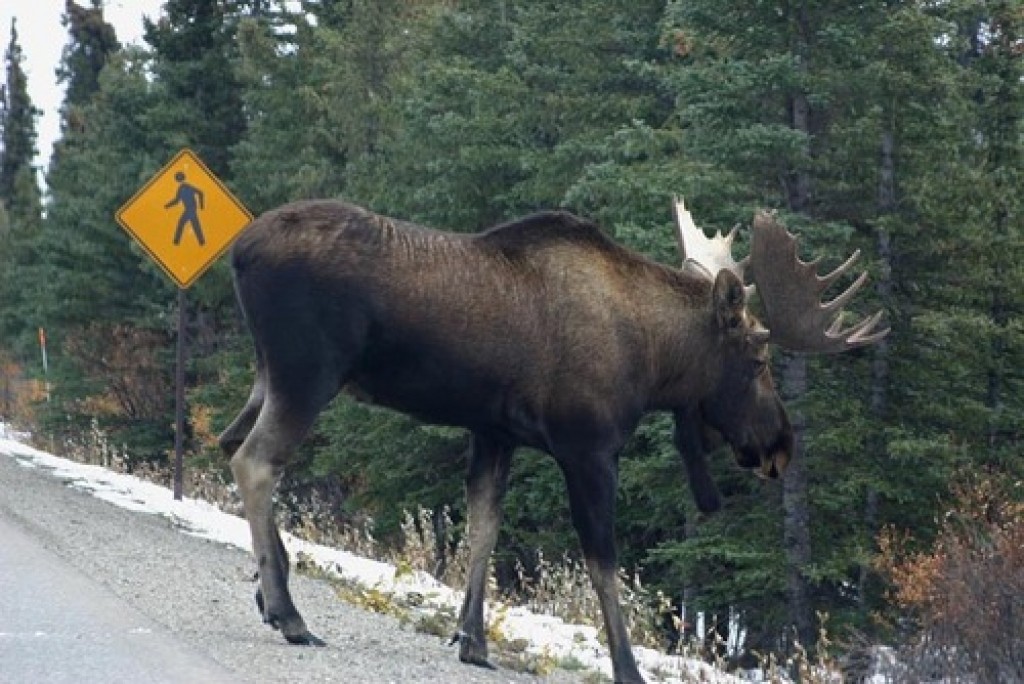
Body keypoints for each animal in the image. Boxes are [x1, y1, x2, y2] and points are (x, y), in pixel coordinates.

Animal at [218, 194, 888, 679]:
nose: (780, 445)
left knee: (229, 442)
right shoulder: (587, 447)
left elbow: (483, 527)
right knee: (255, 460)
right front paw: (626, 667)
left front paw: (473, 640)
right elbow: (603, 561)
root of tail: (240, 253)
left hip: (268, 373)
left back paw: (269, 592)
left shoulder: (494, 432)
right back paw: (288, 613)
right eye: (757, 359)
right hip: (309, 373)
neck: (653, 361)